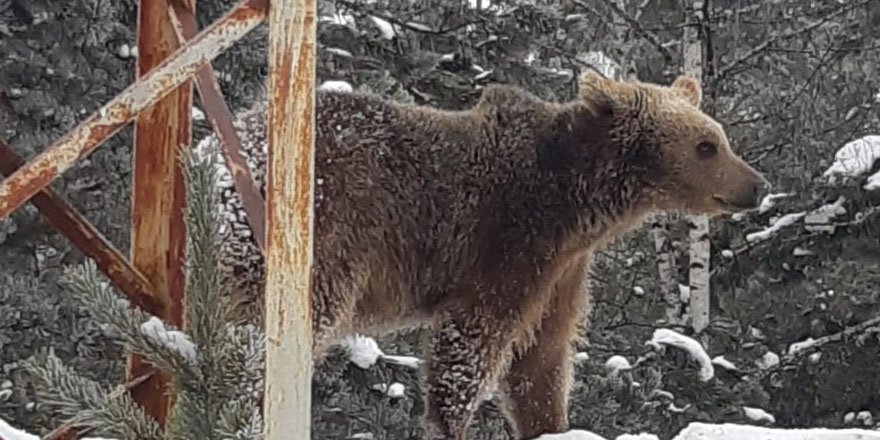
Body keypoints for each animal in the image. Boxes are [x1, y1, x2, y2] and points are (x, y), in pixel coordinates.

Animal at [203, 70, 768, 438]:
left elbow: (542, 361)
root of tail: (219, 150)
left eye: (720, 138)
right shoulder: (505, 245)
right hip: (320, 231)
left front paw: (551, 422)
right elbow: (471, 347)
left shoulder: (562, 273)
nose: (756, 185)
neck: (577, 203)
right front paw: (449, 421)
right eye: (706, 145)